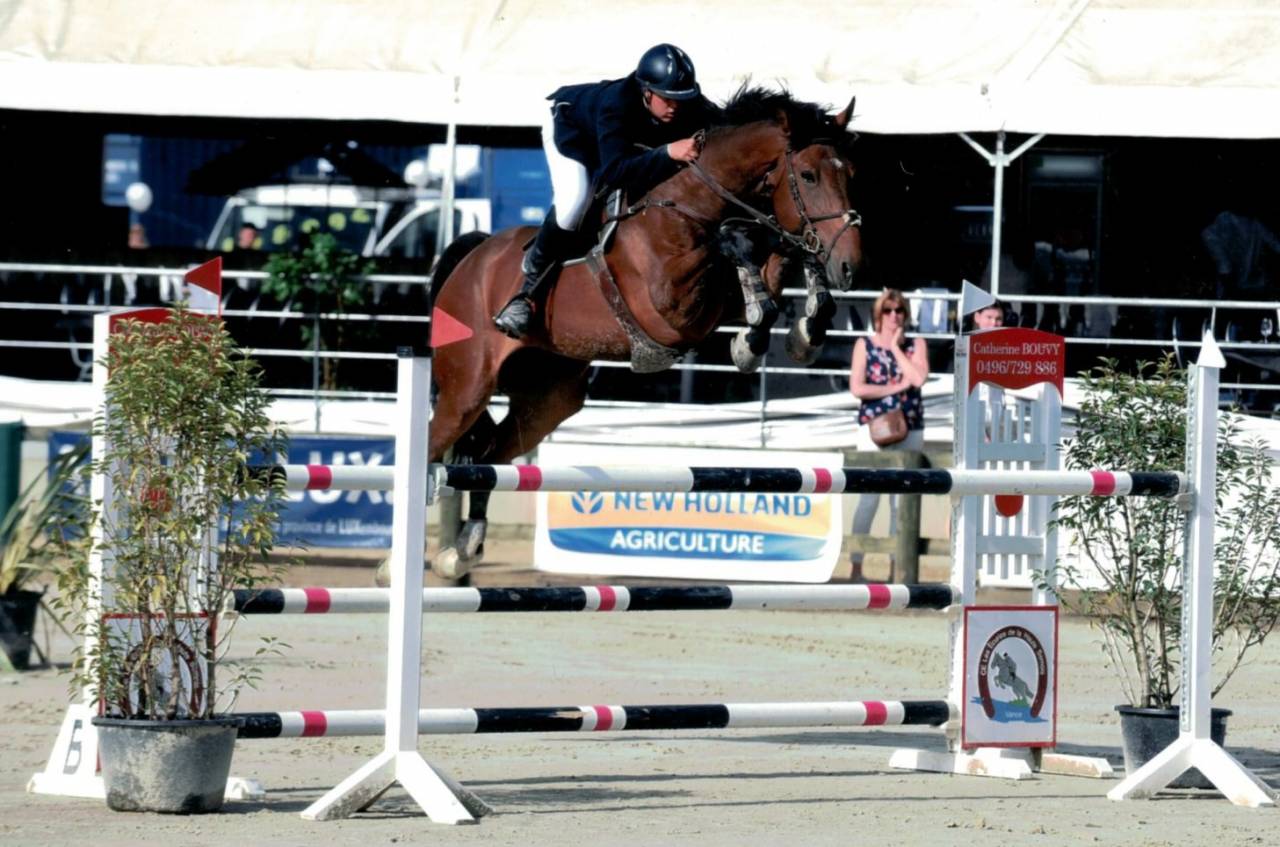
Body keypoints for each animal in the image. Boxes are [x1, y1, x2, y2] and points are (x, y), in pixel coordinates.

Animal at [428, 86, 864, 578]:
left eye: (850, 174)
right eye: (807, 175)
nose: (850, 265)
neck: (688, 204)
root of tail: (471, 258)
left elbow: (774, 260)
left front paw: (799, 331)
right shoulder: (670, 308)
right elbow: (738, 244)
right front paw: (754, 341)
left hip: (547, 399)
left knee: (490, 459)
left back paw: (461, 551)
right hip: (467, 388)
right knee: (435, 444)